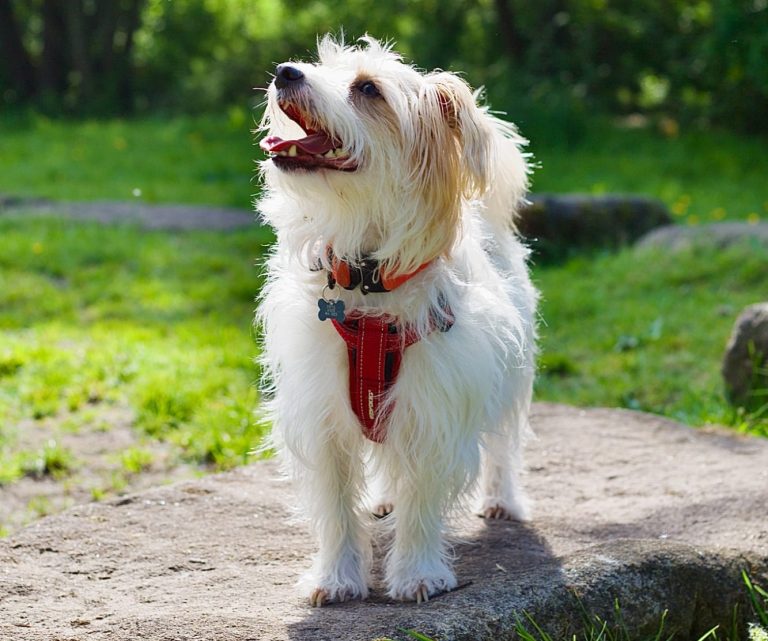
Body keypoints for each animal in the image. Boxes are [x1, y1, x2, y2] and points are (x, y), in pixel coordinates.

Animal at [255, 35, 536, 604]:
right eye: (319, 63)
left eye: (368, 89)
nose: (285, 72)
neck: (367, 277)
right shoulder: (321, 411)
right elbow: (336, 505)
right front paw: (336, 577)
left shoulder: (435, 404)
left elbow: (422, 497)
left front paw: (418, 573)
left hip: (510, 376)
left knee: (502, 443)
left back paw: (502, 499)